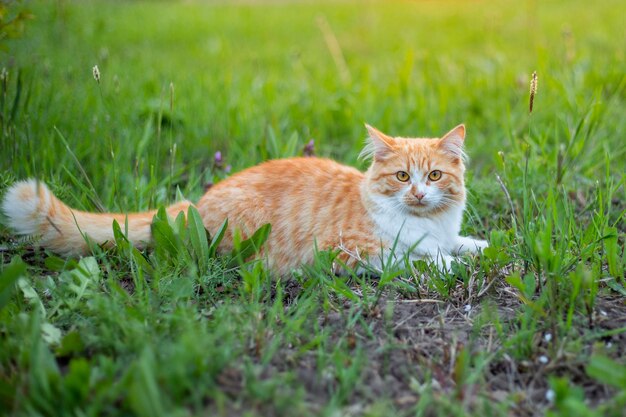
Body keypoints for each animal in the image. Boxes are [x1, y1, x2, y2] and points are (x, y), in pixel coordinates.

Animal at [1, 123, 488, 272]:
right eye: (403, 176)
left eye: (435, 176)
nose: (419, 193)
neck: (428, 223)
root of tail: (195, 204)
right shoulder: (352, 250)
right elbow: (417, 257)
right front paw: (447, 264)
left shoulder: (445, 232)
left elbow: (460, 245)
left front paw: (476, 248)